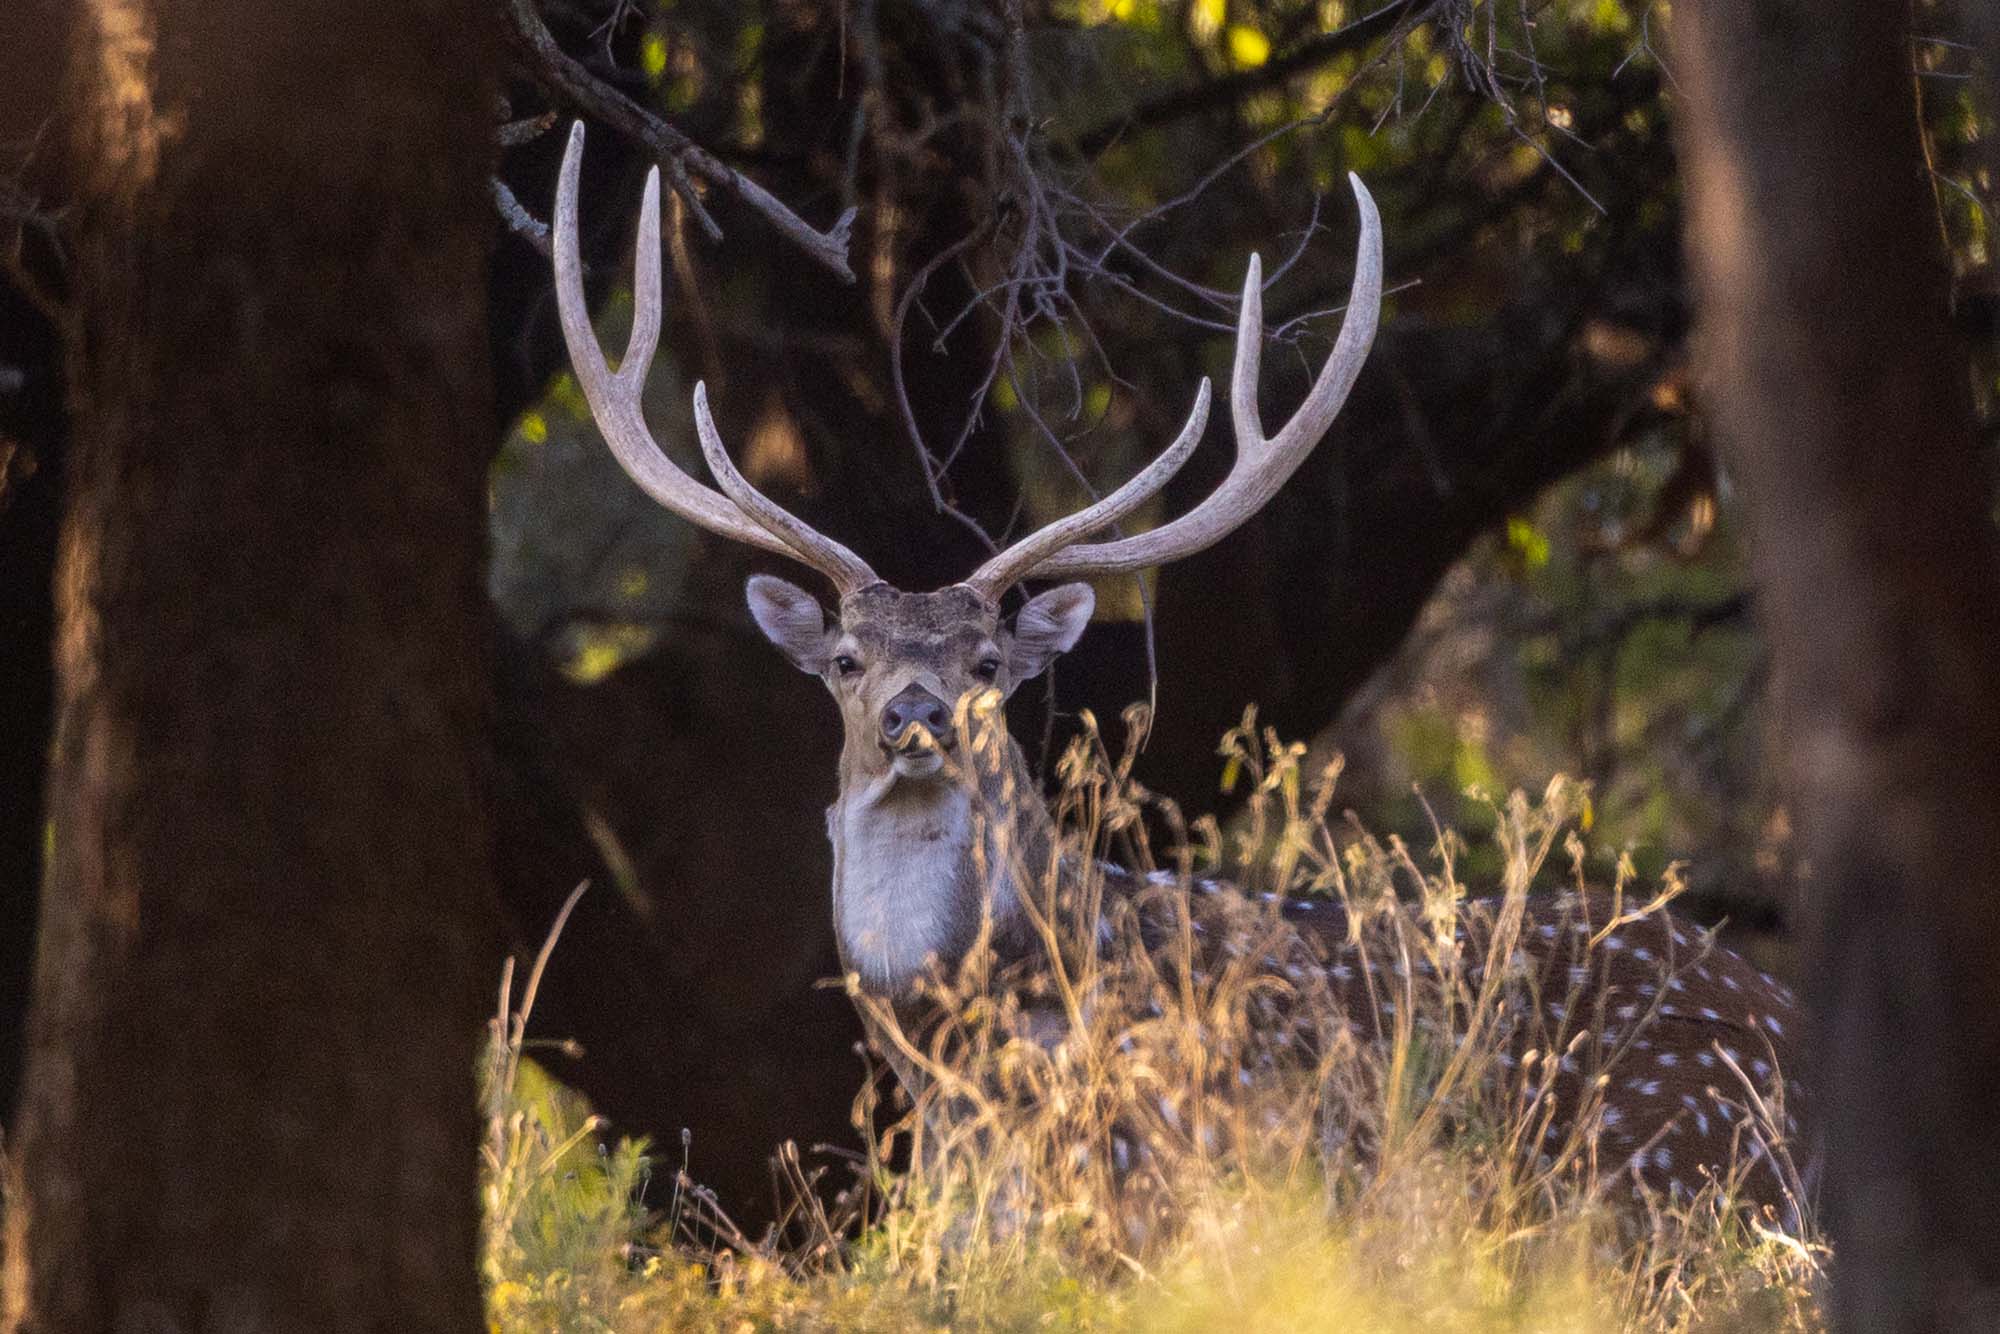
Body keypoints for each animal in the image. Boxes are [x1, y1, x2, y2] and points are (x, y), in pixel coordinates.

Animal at [547, 122, 1806, 1221]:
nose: (914, 711)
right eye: (846, 656)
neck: (961, 1060)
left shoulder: (1153, 1191)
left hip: (1657, 1164)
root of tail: (1780, 1012)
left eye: (989, 660)